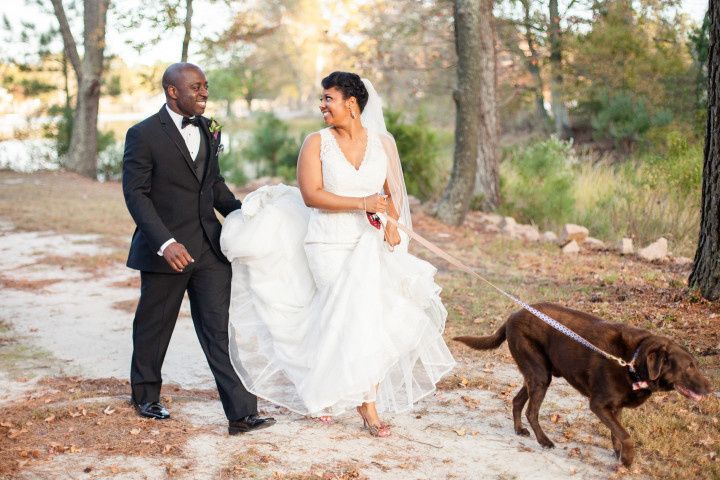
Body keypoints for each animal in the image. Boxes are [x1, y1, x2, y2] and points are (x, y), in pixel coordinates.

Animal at [458, 304, 712, 464]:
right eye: (689, 367)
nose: (711, 388)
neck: (632, 361)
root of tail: (513, 315)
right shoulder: (598, 405)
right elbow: (626, 435)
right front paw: (628, 460)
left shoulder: (615, 407)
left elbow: (617, 433)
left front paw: (619, 455)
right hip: (539, 374)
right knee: (532, 411)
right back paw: (544, 441)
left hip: (539, 373)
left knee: (517, 400)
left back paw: (519, 430)